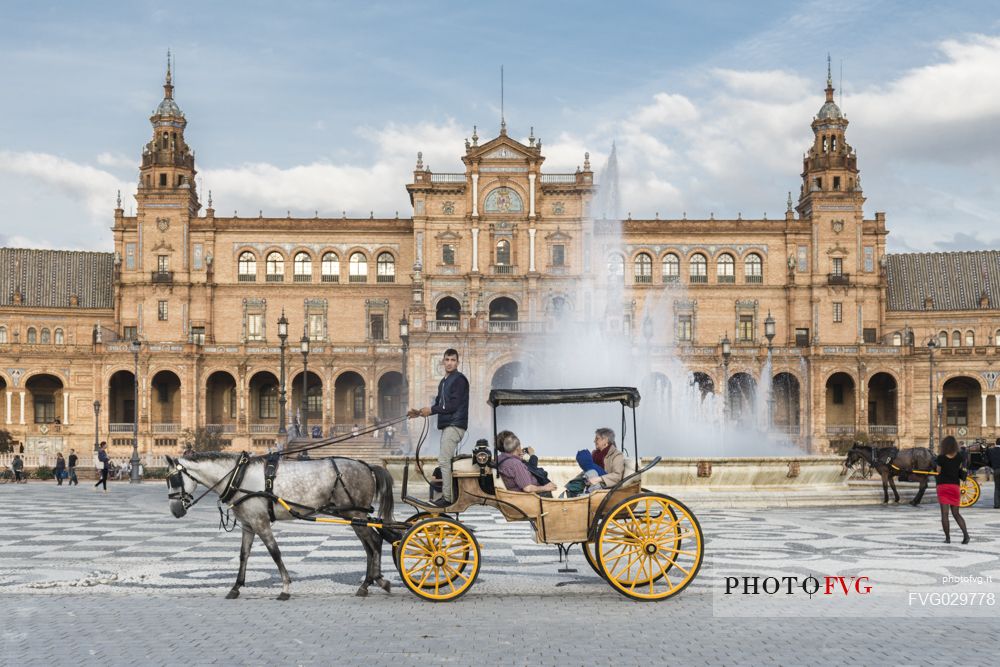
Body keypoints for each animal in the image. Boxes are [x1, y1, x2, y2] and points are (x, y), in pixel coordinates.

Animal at [166, 454, 396, 600]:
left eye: (175, 479)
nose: (175, 511)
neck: (238, 476)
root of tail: (367, 466)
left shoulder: (261, 523)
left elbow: (275, 552)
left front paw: (285, 587)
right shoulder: (248, 525)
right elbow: (243, 555)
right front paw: (236, 587)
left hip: (356, 514)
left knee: (374, 542)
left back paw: (377, 581)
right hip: (354, 516)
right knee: (370, 545)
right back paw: (369, 583)